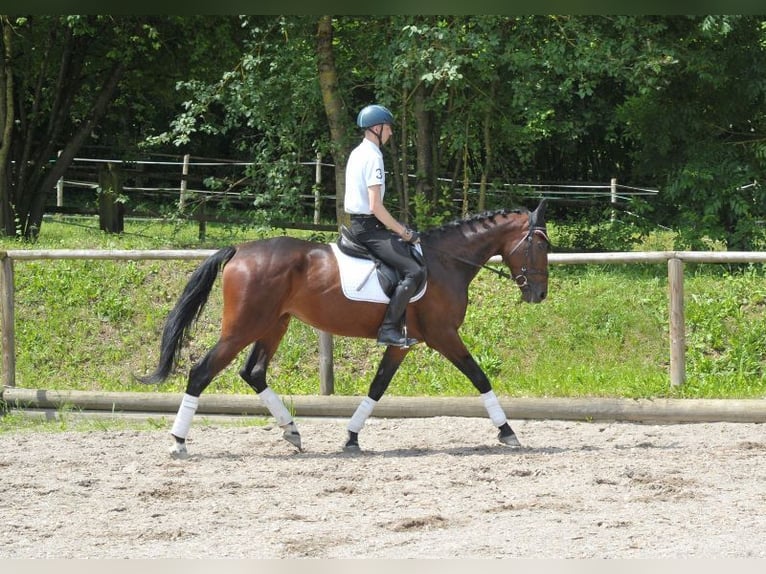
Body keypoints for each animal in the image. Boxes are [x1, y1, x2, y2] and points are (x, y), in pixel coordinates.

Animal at [140, 200, 552, 462]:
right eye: (539, 244)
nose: (539, 294)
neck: (444, 262)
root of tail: (240, 250)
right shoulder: (443, 335)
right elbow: (479, 377)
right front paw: (508, 432)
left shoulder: (403, 343)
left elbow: (377, 387)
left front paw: (352, 437)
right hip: (243, 327)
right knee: (201, 372)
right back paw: (178, 442)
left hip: (275, 323)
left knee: (253, 372)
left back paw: (292, 431)